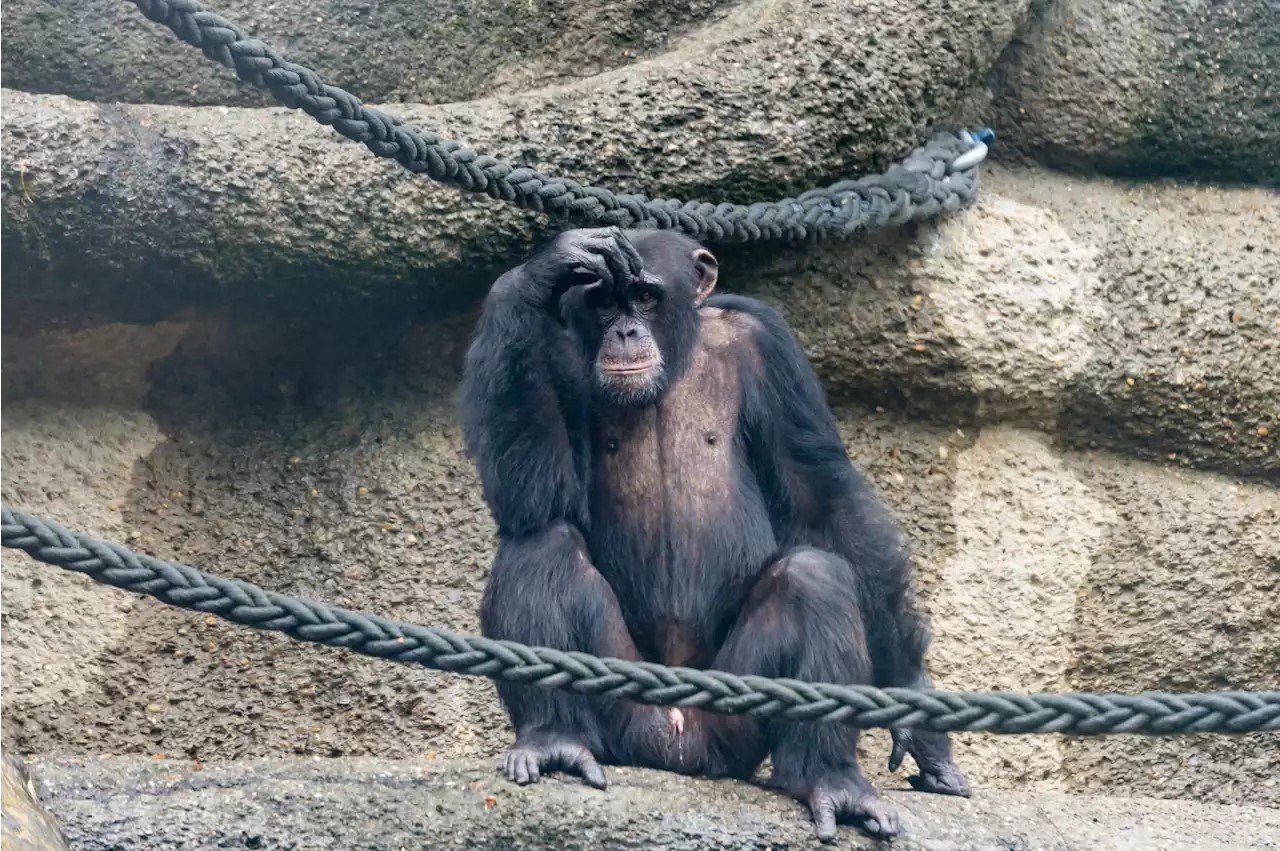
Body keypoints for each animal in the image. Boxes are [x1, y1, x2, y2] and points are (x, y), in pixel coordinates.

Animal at [460, 227, 967, 844]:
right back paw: (552, 737)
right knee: (542, 543)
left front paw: (916, 710)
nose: (624, 332)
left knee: (814, 575)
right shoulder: (553, 352)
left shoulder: (769, 345)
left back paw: (832, 778)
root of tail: (679, 747)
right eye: (604, 302)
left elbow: (825, 501)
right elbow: (537, 495)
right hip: (623, 708)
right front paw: (546, 268)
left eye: (645, 296)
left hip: (734, 724)